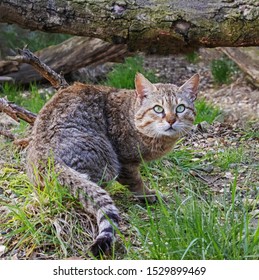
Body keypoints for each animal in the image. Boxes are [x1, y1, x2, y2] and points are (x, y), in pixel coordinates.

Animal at [26, 71, 201, 256]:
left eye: (180, 108)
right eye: (158, 109)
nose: (171, 120)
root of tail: (45, 156)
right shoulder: (125, 162)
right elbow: (136, 182)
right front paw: (147, 195)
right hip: (106, 159)